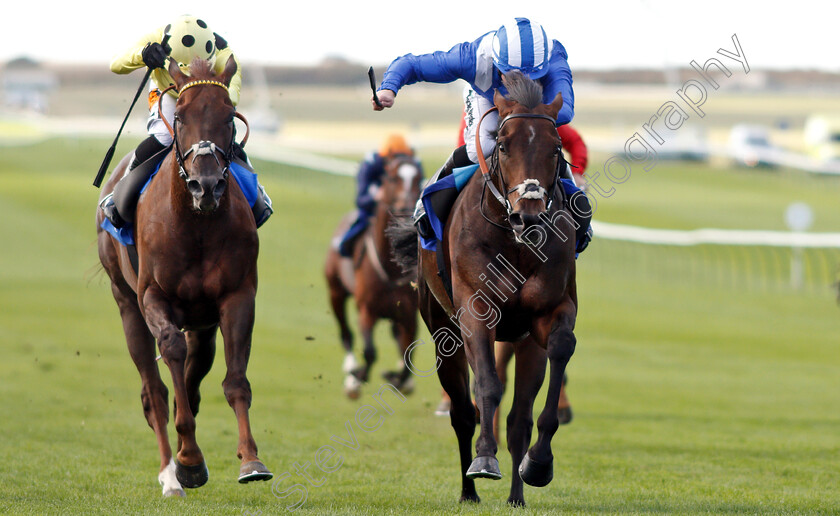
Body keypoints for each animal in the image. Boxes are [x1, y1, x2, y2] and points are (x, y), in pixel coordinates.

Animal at [97, 55, 272, 496]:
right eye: (180, 117)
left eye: (228, 116)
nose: (205, 185)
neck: (196, 225)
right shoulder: (153, 297)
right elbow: (172, 353)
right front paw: (188, 460)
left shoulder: (236, 296)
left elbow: (233, 380)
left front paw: (251, 460)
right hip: (126, 303)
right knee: (154, 390)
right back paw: (169, 472)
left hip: (203, 320)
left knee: (192, 376)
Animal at [324, 153, 424, 400]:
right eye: (392, 177)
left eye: (418, 177)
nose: (406, 206)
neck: (390, 268)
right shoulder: (367, 310)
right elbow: (370, 351)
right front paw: (357, 377)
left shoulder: (408, 314)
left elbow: (409, 355)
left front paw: (397, 378)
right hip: (335, 291)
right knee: (346, 334)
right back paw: (351, 370)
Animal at [392, 70, 576, 506]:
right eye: (504, 145)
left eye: (556, 148)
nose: (529, 214)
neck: (515, 243)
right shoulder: (475, 312)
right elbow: (487, 387)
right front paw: (484, 460)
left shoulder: (548, 314)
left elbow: (559, 352)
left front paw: (539, 464)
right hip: (443, 332)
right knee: (463, 411)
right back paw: (468, 491)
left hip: (523, 342)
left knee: (518, 418)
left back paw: (516, 496)